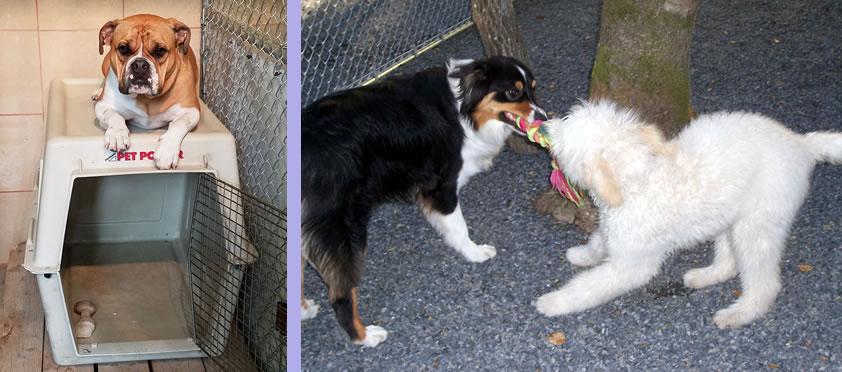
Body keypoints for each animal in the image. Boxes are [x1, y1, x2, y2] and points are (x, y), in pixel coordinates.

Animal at [532, 99, 840, 328]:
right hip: (729, 216)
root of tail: (802, 144)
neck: (638, 181)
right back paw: (704, 276)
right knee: (729, 263)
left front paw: (555, 302)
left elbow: (587, 287)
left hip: (757, 226)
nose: (544, 124)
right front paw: (583, 254)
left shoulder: (632, 265)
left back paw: (739, 314)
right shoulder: (615, 231)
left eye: (566, 128)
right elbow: (598, 241)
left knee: (764, 284)